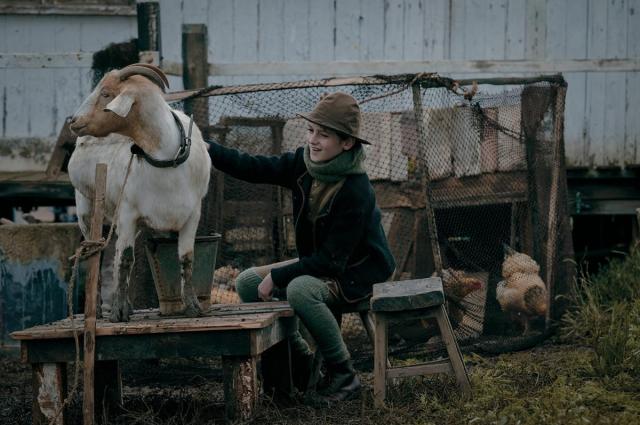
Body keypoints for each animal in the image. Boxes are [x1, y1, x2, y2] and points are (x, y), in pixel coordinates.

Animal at [69, 63, 211, 322]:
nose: (74, 121)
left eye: (106, 93)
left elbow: (187, 258)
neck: (167, 158)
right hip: (87, 210)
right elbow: (125, 259)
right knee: (96, 255)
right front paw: (118, 312)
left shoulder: (192, 214)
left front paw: (193, 306)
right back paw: (99, 311)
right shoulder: (127, 212)